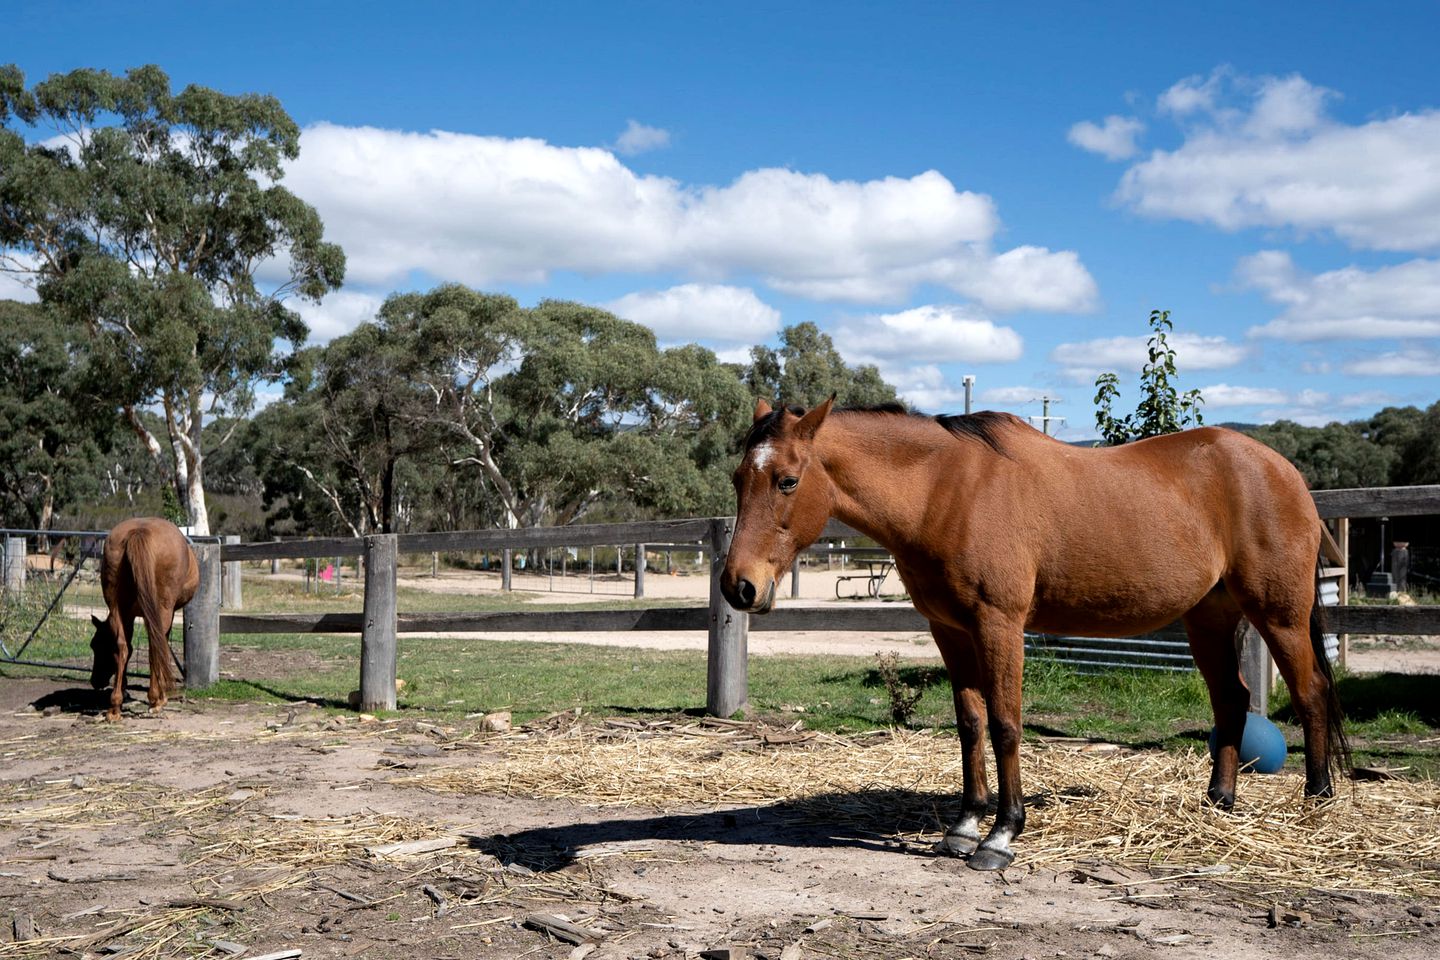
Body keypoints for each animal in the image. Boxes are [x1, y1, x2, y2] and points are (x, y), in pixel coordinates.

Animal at [88, 518, 198, 719]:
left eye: (97, 645)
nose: (96, 681)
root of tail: (138, 532)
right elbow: (161, 648)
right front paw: (160, 697)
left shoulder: (130, 616)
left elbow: (128, 648)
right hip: (161, 610)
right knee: (154, 647)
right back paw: (156, 700)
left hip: (118, 609)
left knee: (122, 646)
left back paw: (115, 707)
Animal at [725, 397, 1342, 869]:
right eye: (738, 479)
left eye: (787, 480)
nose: (739, 587)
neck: (943, 491)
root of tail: (1285, 472)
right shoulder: (950, 630)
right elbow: (970, 724)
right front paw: (964, 827)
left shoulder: (998, 623)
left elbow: (1004, 725)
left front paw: (1002, 835)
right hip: (1209, 618)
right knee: (1232, 700)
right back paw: (1219, 803)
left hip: (1278, 615)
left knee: (1310, 692)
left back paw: (1317, 801)